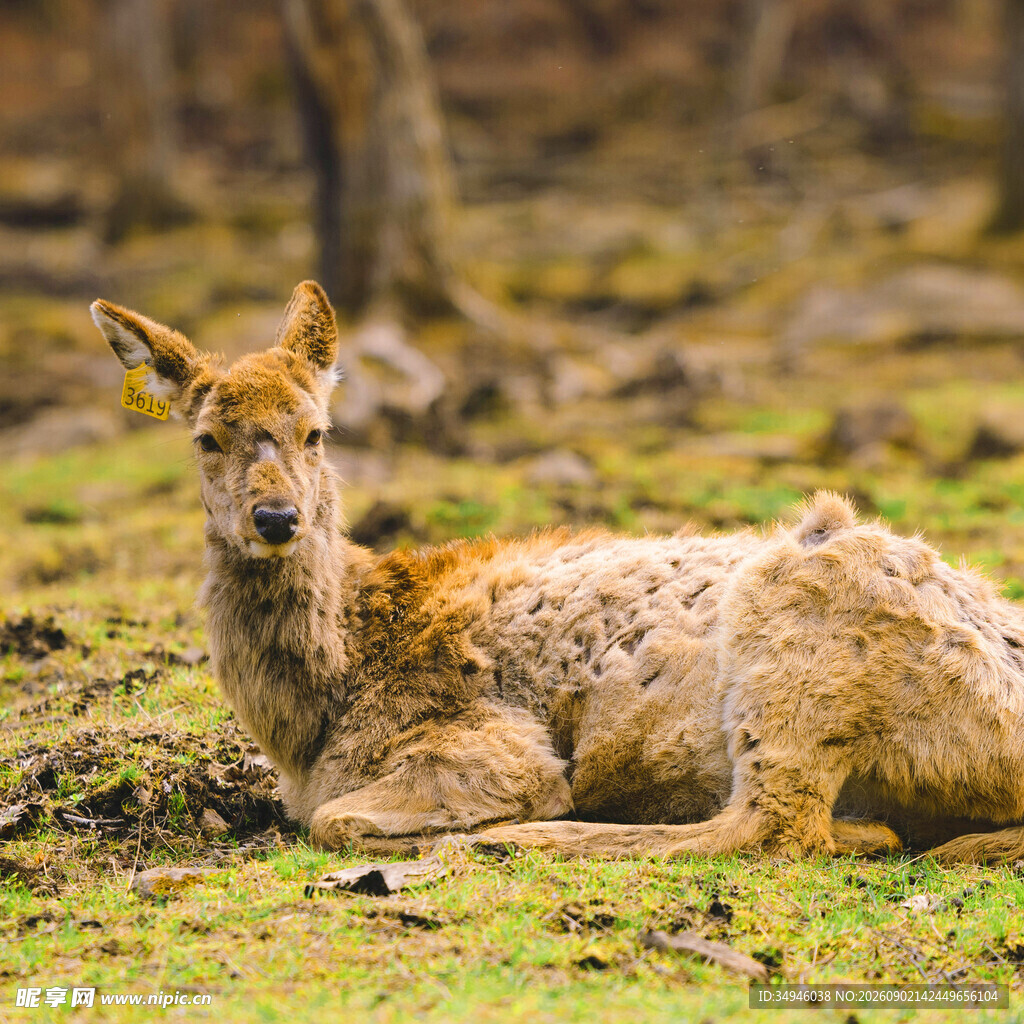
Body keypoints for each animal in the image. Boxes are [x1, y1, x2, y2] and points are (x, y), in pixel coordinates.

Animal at [90, 281, 1024, 865]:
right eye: (205, 436)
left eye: (316, 430)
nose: (277, 519)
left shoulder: (490, 742)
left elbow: (334, 820)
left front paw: (479, 825)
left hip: (799, 627)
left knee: (773, 827)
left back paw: (523, 838)